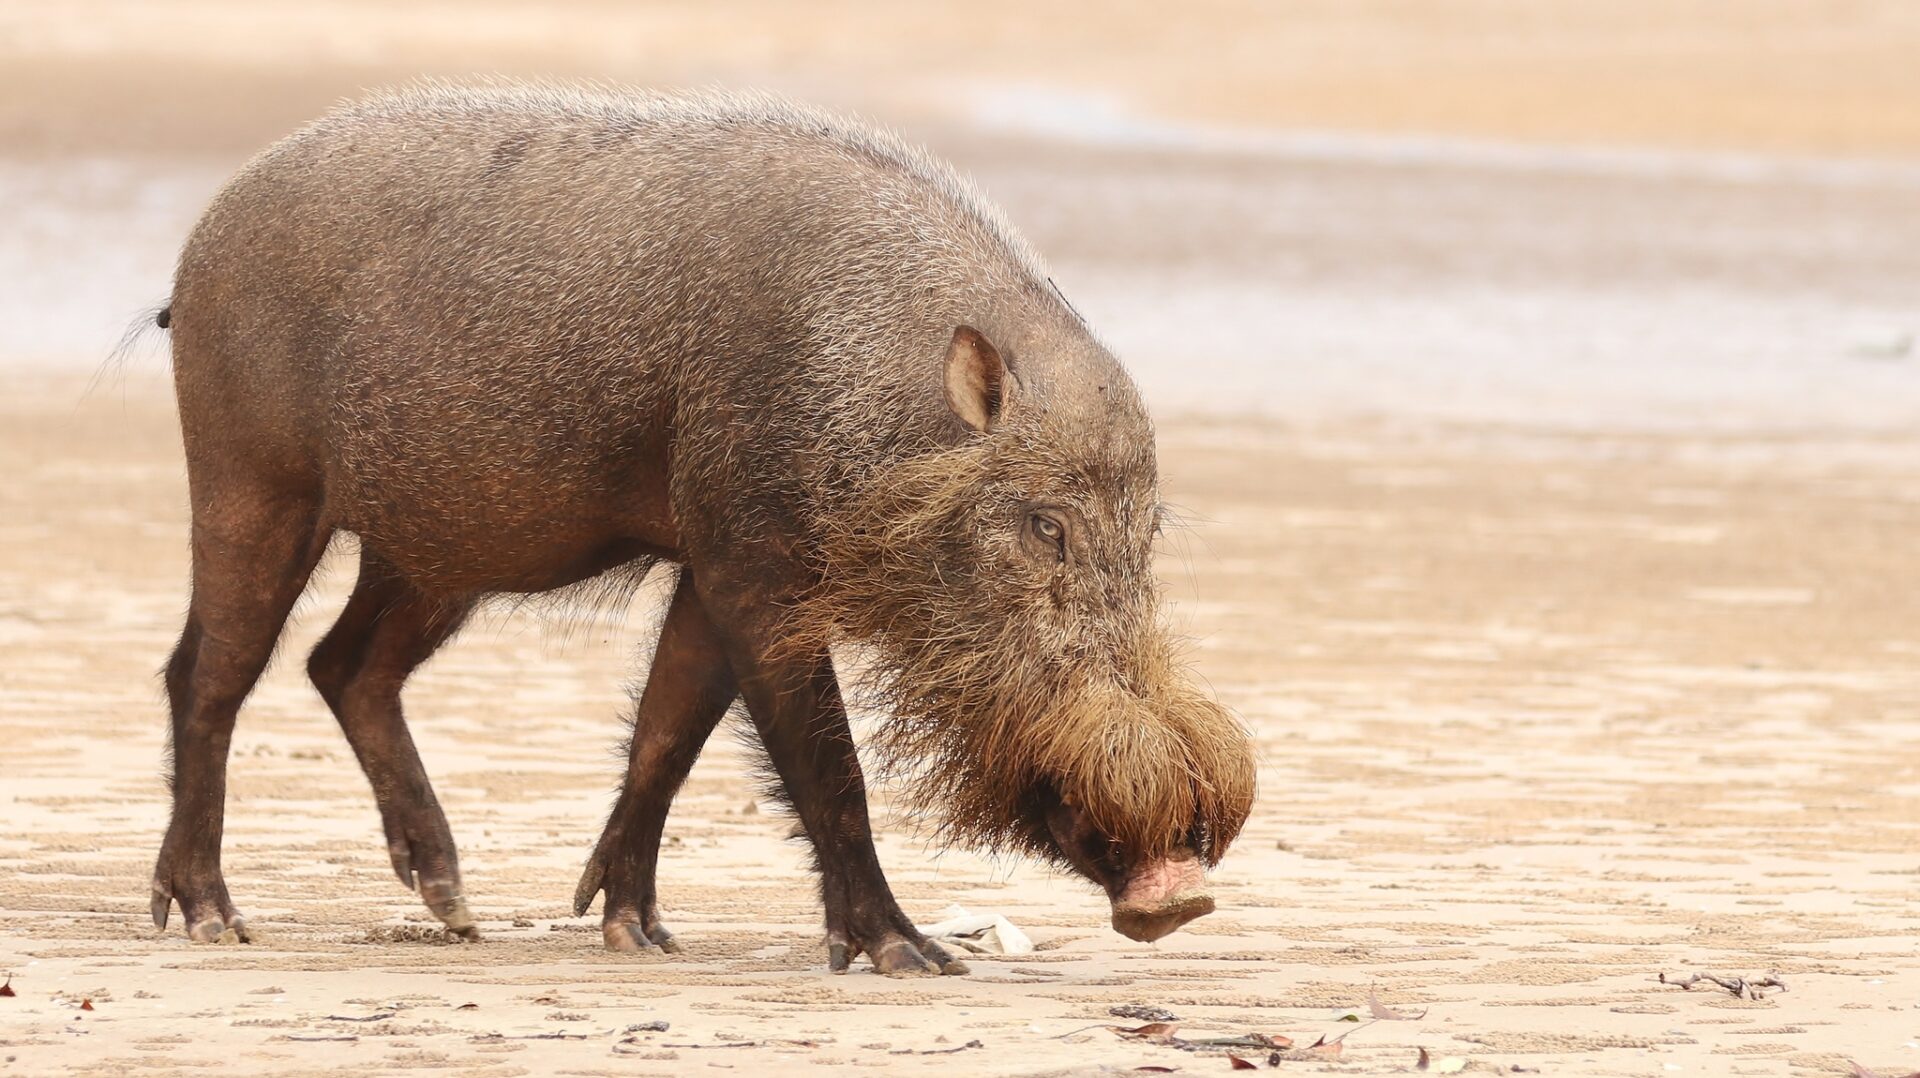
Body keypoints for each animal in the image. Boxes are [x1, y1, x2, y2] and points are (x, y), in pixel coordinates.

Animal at [150, 82, 1256, 973]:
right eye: (1044, 525)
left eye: (1147, 531)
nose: (1178, 891)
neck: (872, 400)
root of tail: (196, 249)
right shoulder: (750, 560)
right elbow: (825, 766)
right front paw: (912, 955)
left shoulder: (708, 563)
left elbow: (667, 731)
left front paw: (637, 933)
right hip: (254, 485)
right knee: (208, 674)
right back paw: (210, 918)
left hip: (429, 551)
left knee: (344, 666)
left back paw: (455, 908)